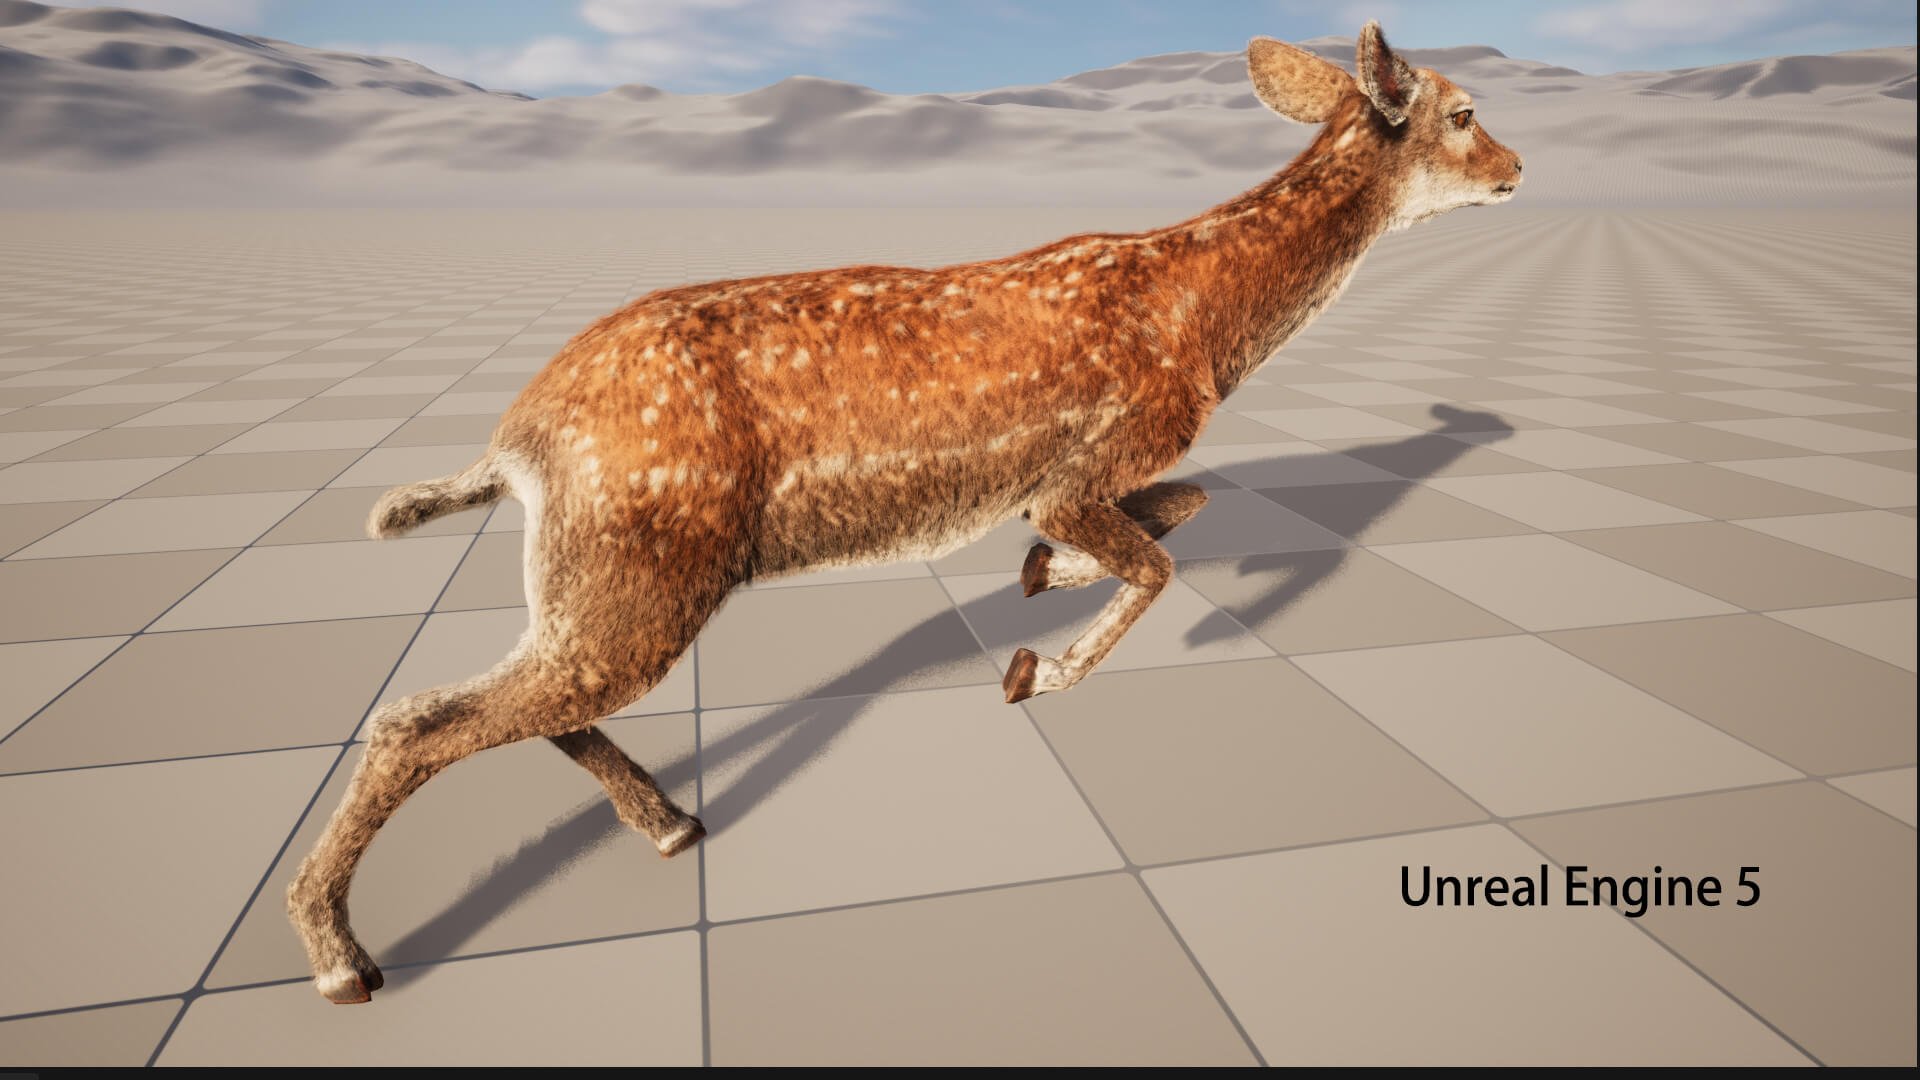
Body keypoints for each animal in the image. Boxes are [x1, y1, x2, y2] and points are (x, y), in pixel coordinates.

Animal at [287, 21, 1522, 1003]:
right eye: (1464, 113)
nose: (1519, 167)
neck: (1209, 328)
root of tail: (517, 442)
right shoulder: (1085, 460)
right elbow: (1160, 559)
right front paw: (1038, 666)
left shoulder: (1088, 477)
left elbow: (1189, 502)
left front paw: (1041, 576)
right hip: (641, 563)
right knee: (419, 719)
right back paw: (344, 961)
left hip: (598, 576)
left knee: (524, 703)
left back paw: (673, 824)